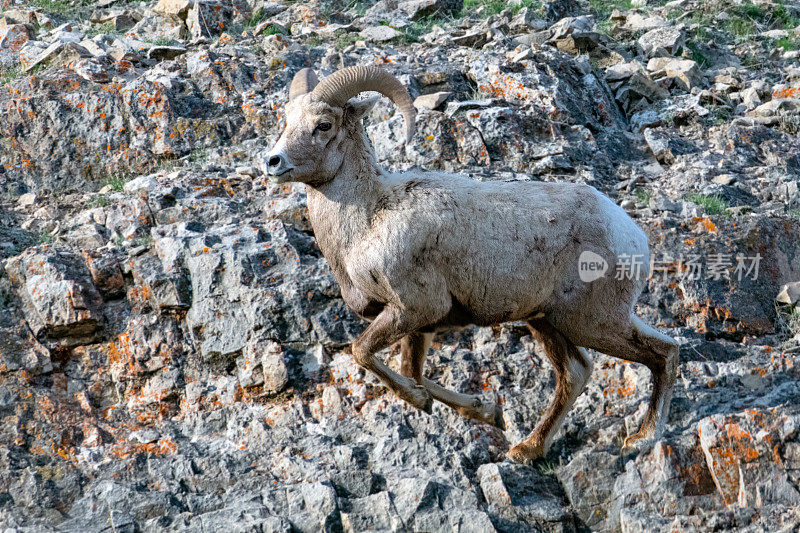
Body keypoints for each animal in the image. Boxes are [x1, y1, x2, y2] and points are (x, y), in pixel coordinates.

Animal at [266, 64, 680, 460]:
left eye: (323, 125)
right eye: (286, 120)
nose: (273, 162)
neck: (367, 221)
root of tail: (632, 234)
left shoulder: (413, 309)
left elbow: (363, 352)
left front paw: (425, 402)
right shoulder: (420, 324)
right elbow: (411, 370)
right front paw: (486, 412)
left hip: (592, 322)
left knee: (663, 353)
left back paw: (641, 440)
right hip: (548, 322)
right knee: (579, 373)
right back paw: (527, 450)